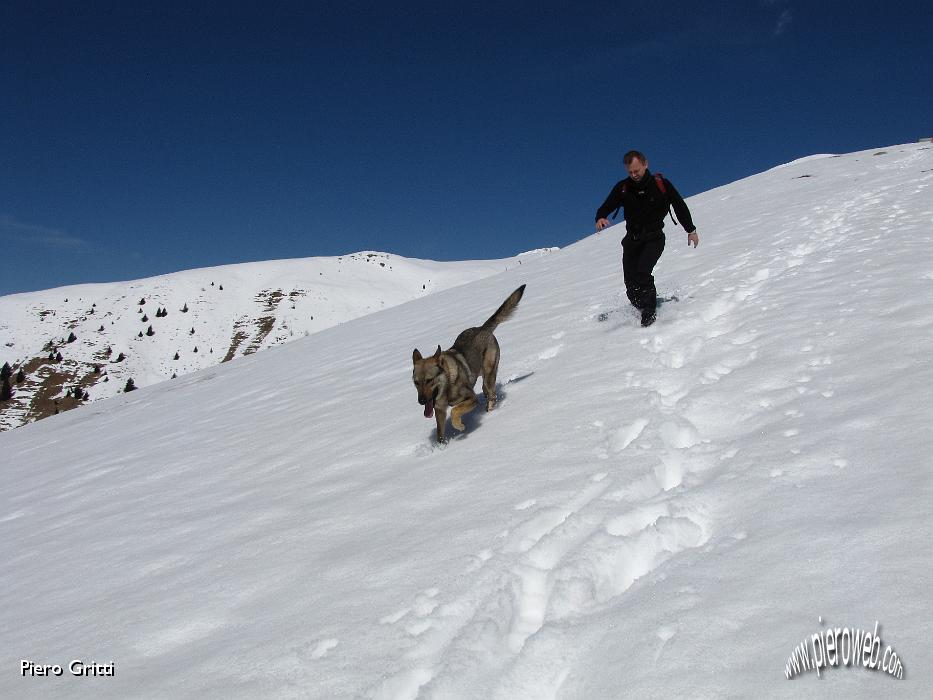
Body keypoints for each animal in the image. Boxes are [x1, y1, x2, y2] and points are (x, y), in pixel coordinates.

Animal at [410, 284, 520, 442]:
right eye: (416, 382)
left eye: (429, 380)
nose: (421, 401)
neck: (446, 385)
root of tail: (482, 328)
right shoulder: (439, 410)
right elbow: (440, 433)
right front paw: (442, 446)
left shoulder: (471, 398)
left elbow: (455, 411)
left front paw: (459, 426)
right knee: (486, 390)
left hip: (489, 372)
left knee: (491, 393)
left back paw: (490, 410)